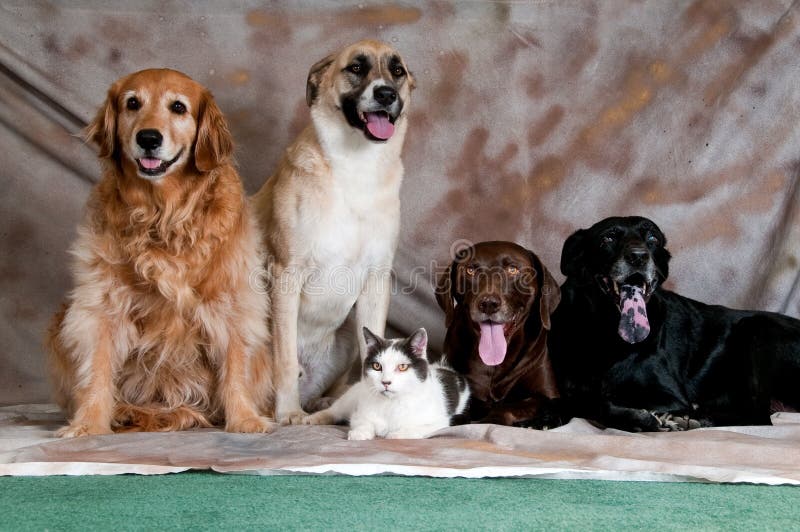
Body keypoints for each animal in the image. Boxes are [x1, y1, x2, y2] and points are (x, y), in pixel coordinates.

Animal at [253, 39, 416, 424]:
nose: (386, 94)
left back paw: (324, 402)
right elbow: (284, 360)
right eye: (356, 68)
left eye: (397, 71)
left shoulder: (376, 280)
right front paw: (288, 412)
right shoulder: (287, 273)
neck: (357, 165)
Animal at [304, 326, 472, 438]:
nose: (386, 382)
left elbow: (411, 430)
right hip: (355, 393)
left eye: (402, 367)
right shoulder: (360, 412)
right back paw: (312, 418)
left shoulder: (438, 422)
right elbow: (362, 421)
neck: (391, 403)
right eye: (377, 366)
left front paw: (395, 434)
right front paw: (360, 433)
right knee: (335, 410)